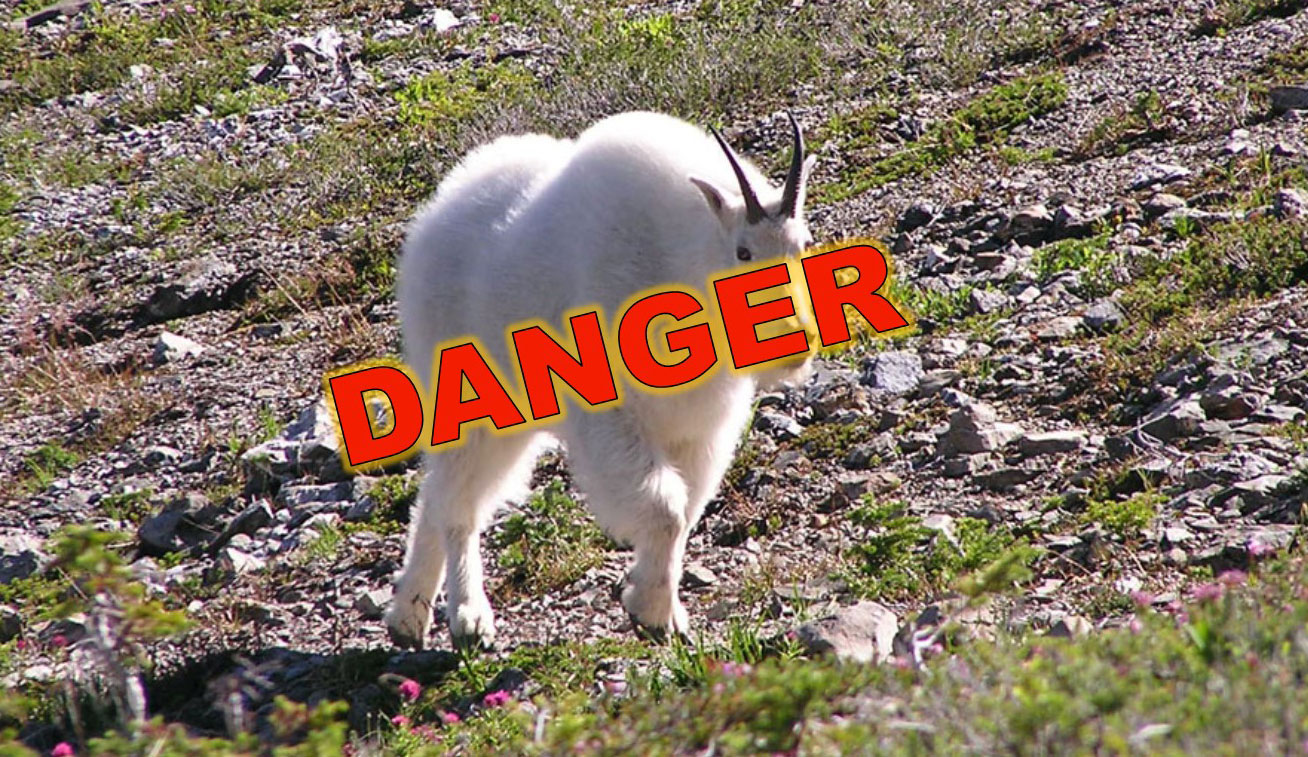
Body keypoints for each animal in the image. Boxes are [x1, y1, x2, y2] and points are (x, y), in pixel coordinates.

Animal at [386, 111, 817, 650]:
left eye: (803, 244)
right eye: (742, 252)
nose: (795, 342)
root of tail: (432, 219)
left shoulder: (699, 430)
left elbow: (685, 511)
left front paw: (654, 606)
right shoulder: (612, 417)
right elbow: (666, 508)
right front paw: (652, 613)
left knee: (437, 491)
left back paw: (407, 617)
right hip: (472, 402)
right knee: (458, 500)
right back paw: (469, 618)